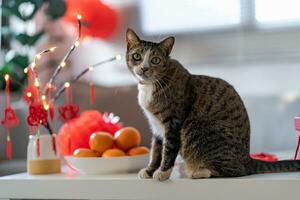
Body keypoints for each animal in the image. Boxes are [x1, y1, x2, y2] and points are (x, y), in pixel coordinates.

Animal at [125, 28, 300, 181]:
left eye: (155, 60)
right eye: (137, 56)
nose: (144, 68)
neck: (151, 85)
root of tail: (247, 159)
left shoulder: (173, 122)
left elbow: (168, 149)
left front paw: (163, 172)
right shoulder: (155, 125)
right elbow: (156, 150)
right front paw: (149, 171)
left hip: (196, 128)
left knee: (236, 171)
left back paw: (198, 171)